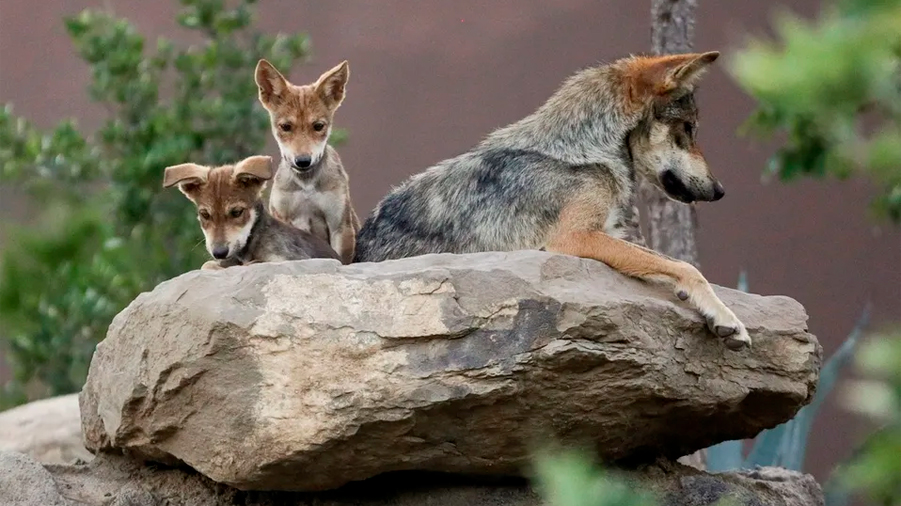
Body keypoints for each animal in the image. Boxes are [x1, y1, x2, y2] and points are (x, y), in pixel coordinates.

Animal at [356, 52, 748, 352]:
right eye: (689, 129)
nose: (720, 190)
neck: (581, 149)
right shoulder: (573, 239)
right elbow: (687, 266)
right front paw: (728, 318)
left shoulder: (613, 234)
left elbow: (670, 262)